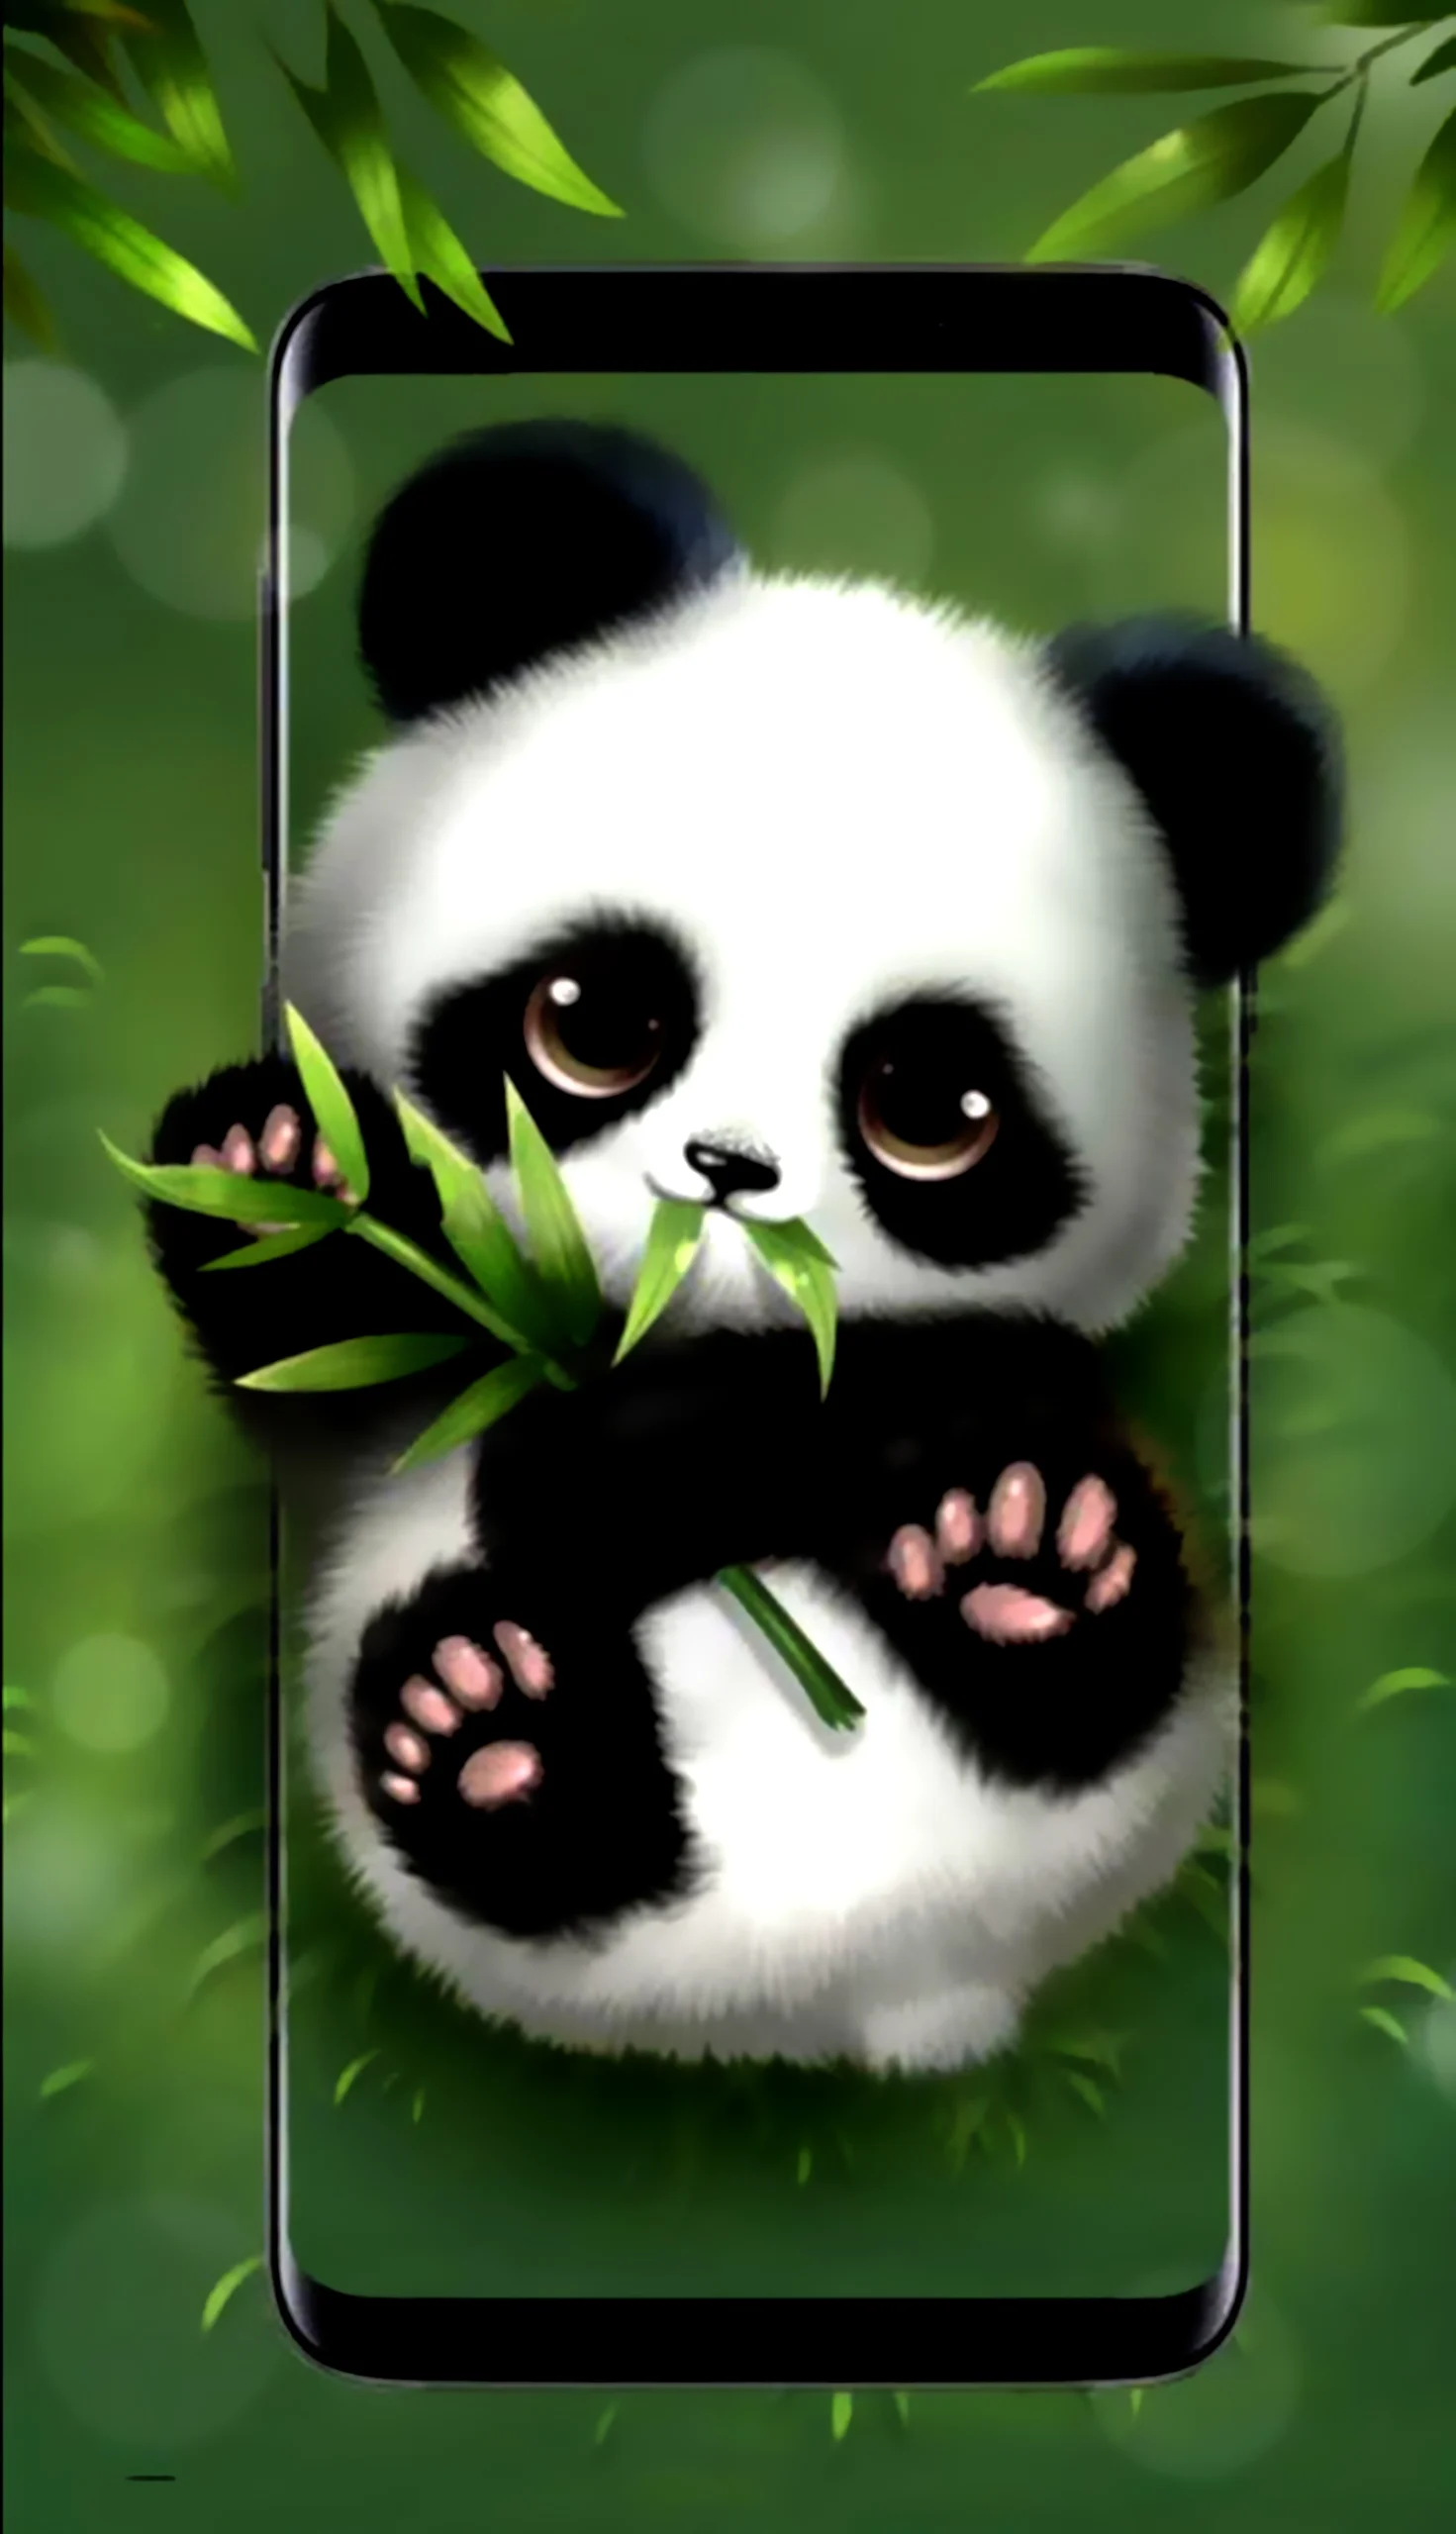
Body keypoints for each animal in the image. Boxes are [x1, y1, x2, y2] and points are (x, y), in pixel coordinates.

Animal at [145, 419, 1341, 2075]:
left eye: (929, 1107)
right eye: (589, 1021)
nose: (724, 1178)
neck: (668, 1323)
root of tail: (881, 1980)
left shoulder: (972, 1359)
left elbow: (850, 1400)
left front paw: (661, 1455)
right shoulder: (408, 1401)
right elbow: (336, 1353)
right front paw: (277, 1173)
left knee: (1101, 1678)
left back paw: (1019, 1570)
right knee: (535, 1840)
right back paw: (488, 1732)